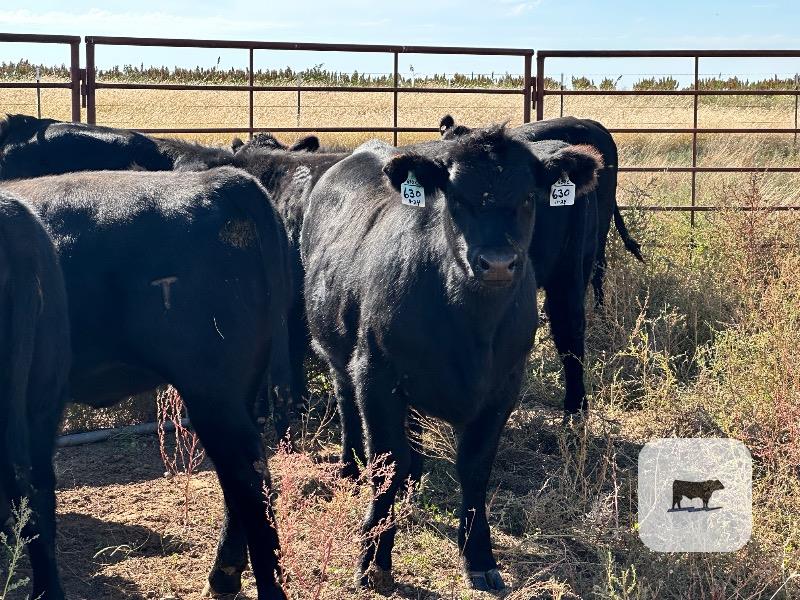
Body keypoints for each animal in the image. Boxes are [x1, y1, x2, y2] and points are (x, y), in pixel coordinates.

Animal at [301, 125, 602, 591]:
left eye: (529, 197)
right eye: (456, 198)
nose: (497, 263)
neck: (470, 325)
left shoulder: (503, 387)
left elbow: (474, 468)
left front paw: (479, 556)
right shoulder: (376, 373)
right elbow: (387, 462)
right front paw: (373, 559)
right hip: (338, 349)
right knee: (347, 399)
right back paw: (351, 466)